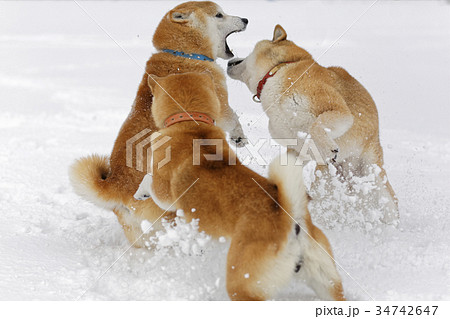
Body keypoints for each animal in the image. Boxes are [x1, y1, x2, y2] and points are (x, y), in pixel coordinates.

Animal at [69, 1, 250, 246]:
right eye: (219, 15)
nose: (246, 19)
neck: (184, 54)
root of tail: (116, 186)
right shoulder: (221, 106)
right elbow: (233, 119)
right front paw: (239, 137)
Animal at [134, 72, 344, 302]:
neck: (191, 123)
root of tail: (292, 221)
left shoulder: (164, 193)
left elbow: (148, 180)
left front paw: (141, 192)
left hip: (242, 284)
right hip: (326, 280)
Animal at [227, 25, 400, 225]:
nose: (228, 63)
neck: (277, 71)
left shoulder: (337, 108)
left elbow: (315, 126)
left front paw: (328, 148)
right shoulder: (295, 148)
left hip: (375, 180)